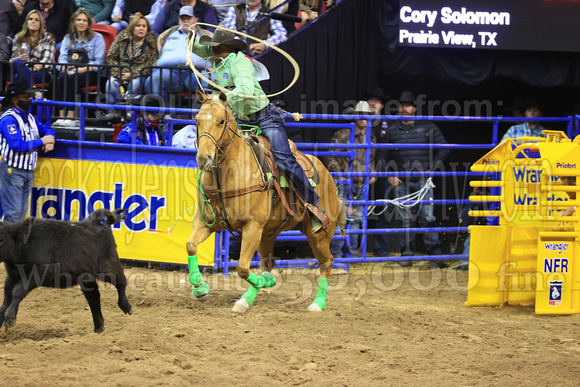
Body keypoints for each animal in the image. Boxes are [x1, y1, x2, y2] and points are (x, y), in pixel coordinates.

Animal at [0, 209, 131, 334]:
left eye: (1, 239)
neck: (25, 245)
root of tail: (93, 221)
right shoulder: (12, 277)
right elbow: (7, 296)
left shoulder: (38, 273)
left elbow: (17, 291)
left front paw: (10, 322)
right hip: (86, 277)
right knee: (93, 295)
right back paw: (99, 326)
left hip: (108, 268)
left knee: (121, 281)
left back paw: (126, 306)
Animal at [186, 91, 342, 316]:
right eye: (197, 120)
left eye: (221, 121)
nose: (203, 159)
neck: (228, 175)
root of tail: (328, 174)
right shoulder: (206, 221)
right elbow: (190, 246)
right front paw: (200, 288)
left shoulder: (252, 227)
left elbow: (242, 268)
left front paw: (261, 282)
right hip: (268, 233)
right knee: (269, 263)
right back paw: (247, 298)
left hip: (318, 235)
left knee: (326, 262)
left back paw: (317, 303)